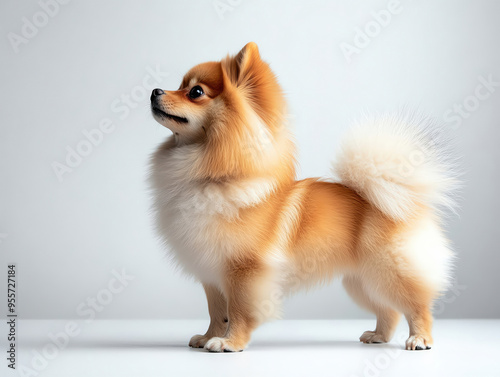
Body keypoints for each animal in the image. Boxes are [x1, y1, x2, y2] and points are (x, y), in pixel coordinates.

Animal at [148, 42, 458, 352]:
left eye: (195, 92)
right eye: (180, 86)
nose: (154, 91)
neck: (213, 176)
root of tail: (401, 198)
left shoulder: (244, 272)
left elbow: (238, 311)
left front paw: (229, 342)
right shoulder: (211, 273)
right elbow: (216, 311)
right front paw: (208, 336)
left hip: (387, 271)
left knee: (417, 305)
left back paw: (420, 338)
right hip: (361, 281)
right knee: (388, 310)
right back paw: (378, 336)